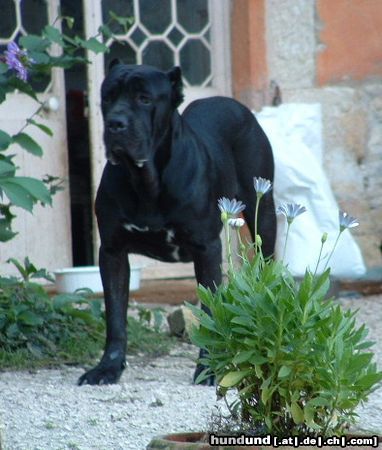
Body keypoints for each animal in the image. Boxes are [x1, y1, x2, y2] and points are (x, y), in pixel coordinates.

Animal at [77, 62, 276, 386]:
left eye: (144, 99)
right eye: (107, 97)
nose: (116, 124)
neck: (146, 180)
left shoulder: (206, 249)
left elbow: (209, 311)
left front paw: (208, 368)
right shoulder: (112, 252)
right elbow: (115, 317)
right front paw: (108, 367)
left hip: (264, 212)